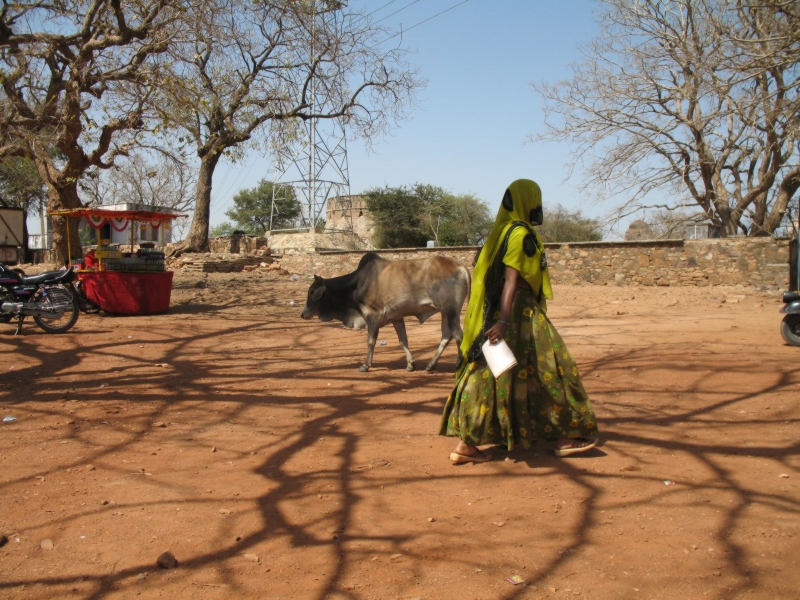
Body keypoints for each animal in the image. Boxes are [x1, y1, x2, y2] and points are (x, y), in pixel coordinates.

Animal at [304, 252, 472, 372]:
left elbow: (371, 341)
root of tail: (461, 266)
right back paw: (431, 365)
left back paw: (458, 364)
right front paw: (410, 365)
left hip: (450, 311)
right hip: (445, 312)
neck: (356, 284)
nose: (303, 314)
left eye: (311, 292)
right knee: (447, 335)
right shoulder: (397, 317)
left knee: (458, 335)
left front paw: (366, 365)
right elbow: (403, 340)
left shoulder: (372, 315)